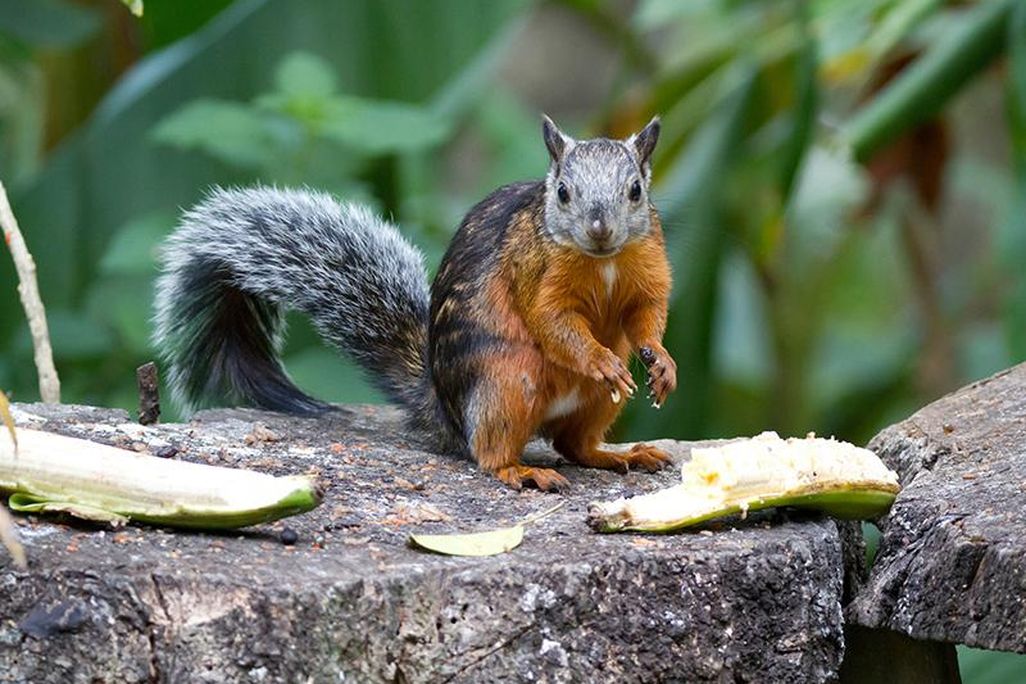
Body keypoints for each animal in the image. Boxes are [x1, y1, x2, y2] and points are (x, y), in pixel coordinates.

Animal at [153, 115, 677, 491]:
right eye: (563, 192)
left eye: (636, 190)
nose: (600, 230)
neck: (603, 262)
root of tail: (444, 413)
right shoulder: (533, 273)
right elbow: (553, 322)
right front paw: (601, 360)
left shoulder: (648, 272)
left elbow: (646, 316)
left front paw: (662, 362)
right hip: (507, 382)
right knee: (490, 453)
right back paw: (520, 470)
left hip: (592, 405)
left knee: (575, 444)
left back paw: (621, 454)